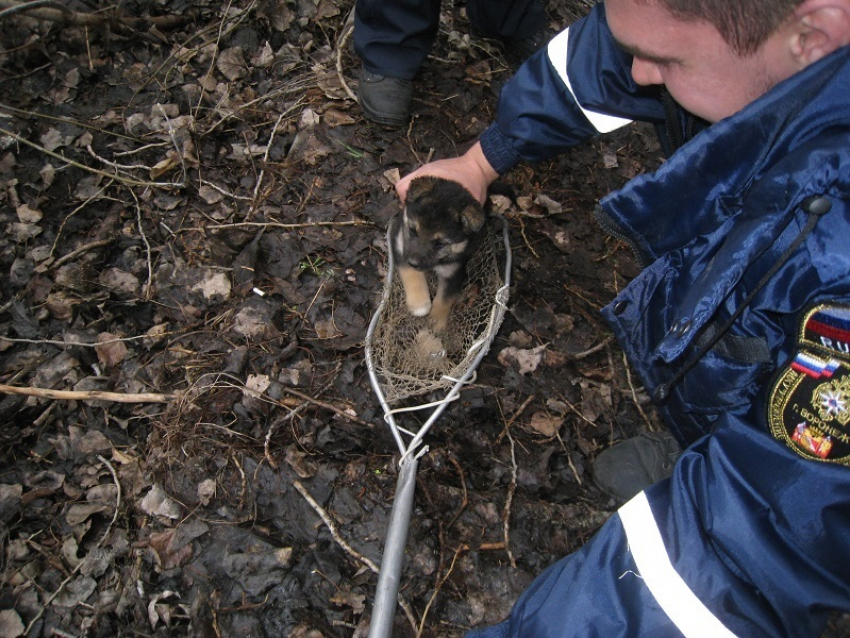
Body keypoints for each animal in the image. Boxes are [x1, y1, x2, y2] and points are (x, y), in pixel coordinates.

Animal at [390, 176, 484, 336]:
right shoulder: (399, 243)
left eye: (439, 244)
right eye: (413, 230)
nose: (413, 263)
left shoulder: (453, 270)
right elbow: (411, 274)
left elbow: (445, 299)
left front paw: (435, 323)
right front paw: (419, 303)